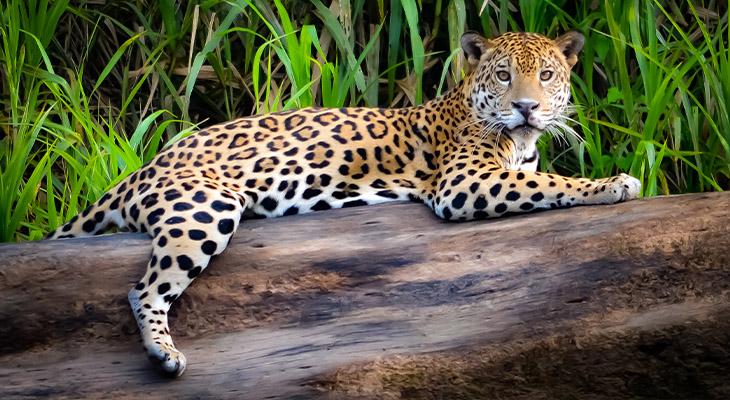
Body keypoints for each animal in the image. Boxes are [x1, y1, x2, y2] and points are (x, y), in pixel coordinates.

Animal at [46, 30, 641, 377]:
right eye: (503, 75)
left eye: (546, 75)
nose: (525, 107)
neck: (518, 141)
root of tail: (145, 166)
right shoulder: (464, 182)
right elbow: (555, 184)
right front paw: (614, 183)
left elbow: (543, 178)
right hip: (205, 206)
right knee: (144, 288)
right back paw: (164, 355)